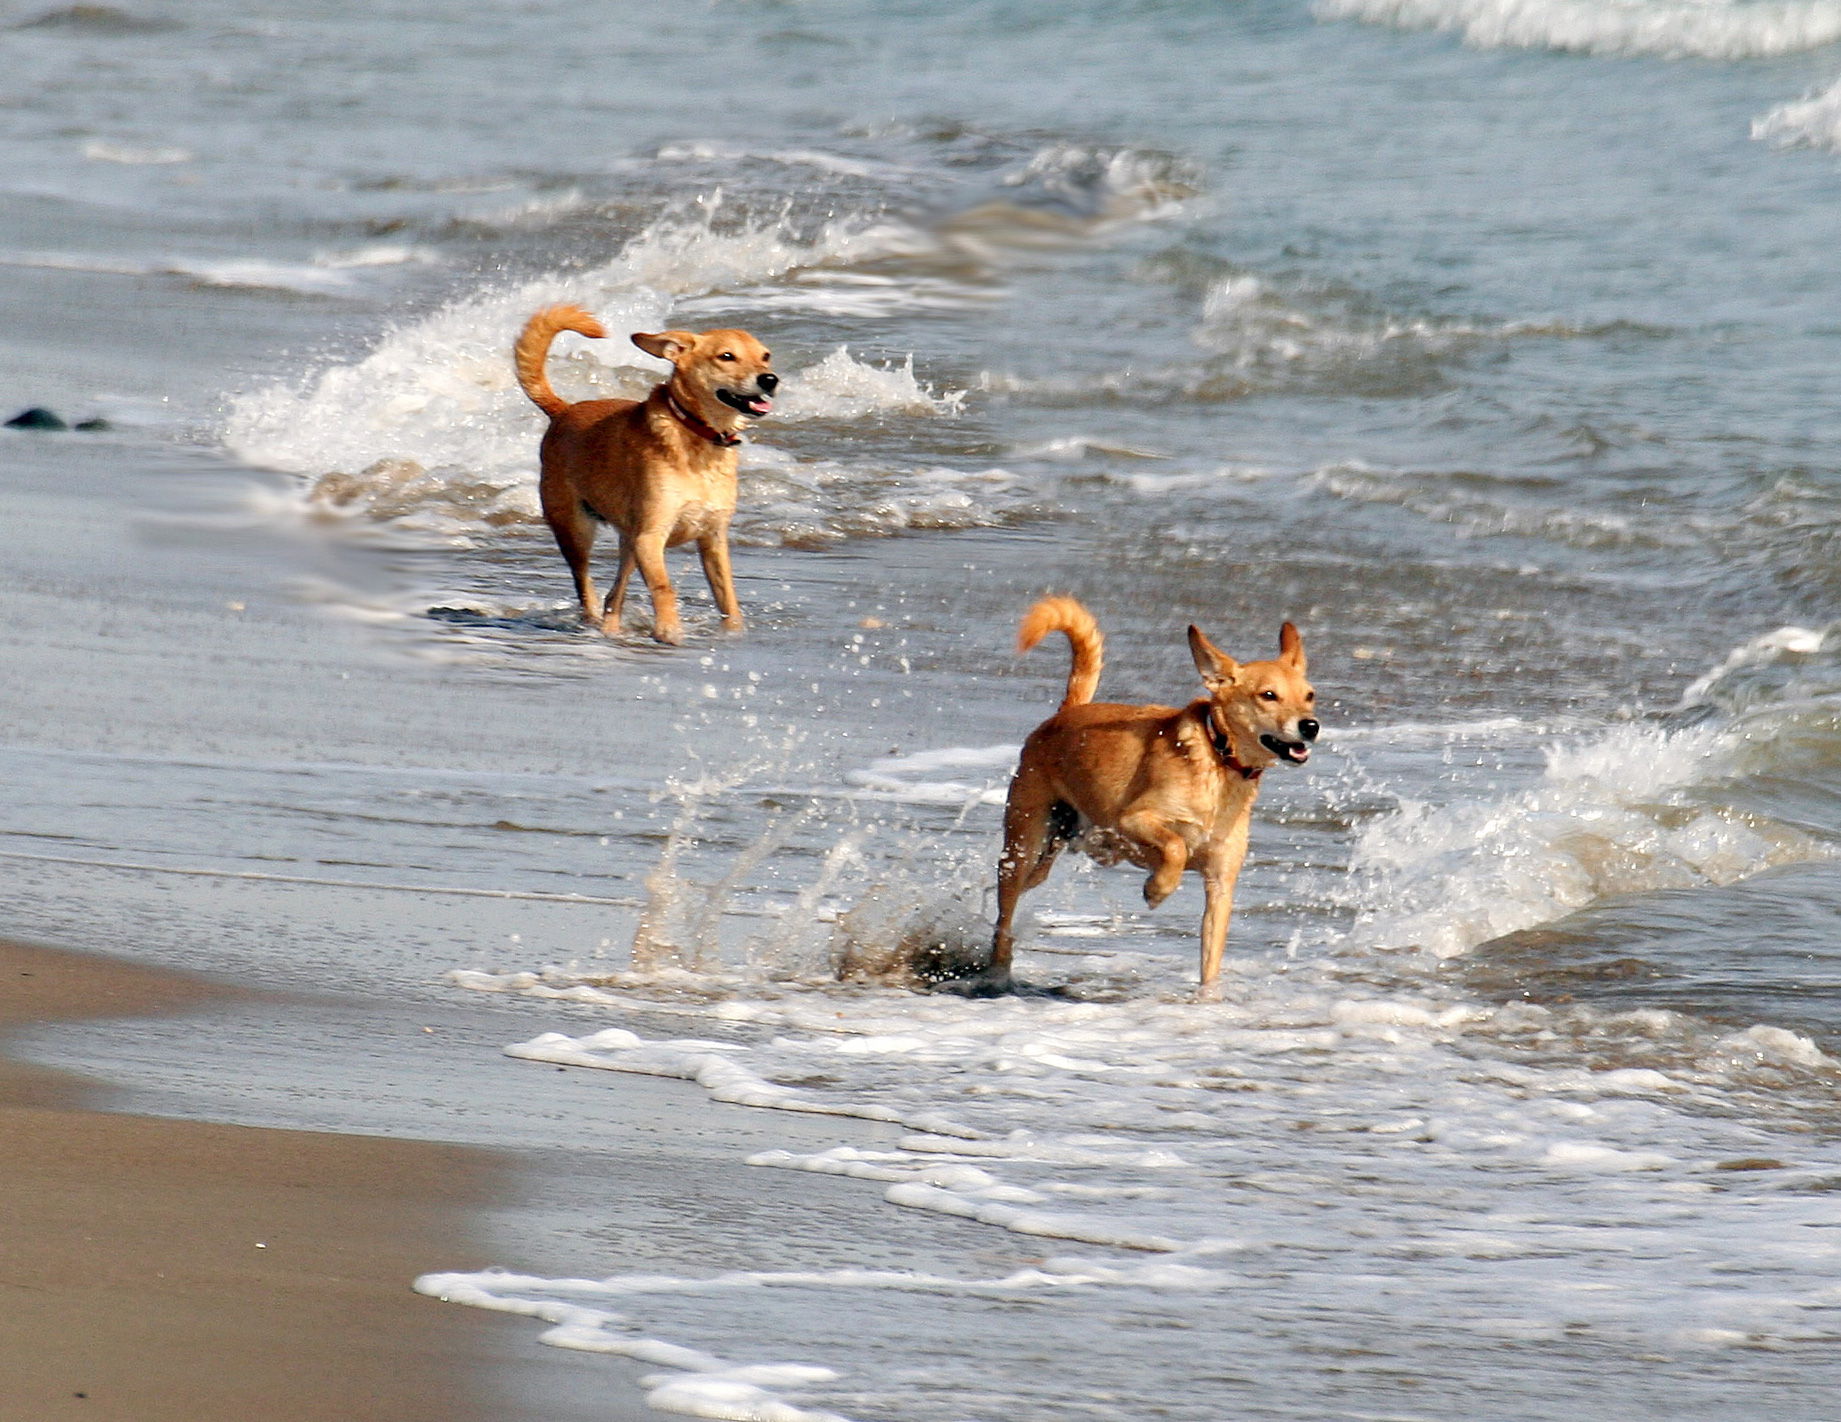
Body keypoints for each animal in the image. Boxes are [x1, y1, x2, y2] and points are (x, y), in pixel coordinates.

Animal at [511, 311, 776, 648]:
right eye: (726, 356)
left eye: (765, 356)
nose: (770, 379)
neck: (697, 434)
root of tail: (563, 410)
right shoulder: (650, 538)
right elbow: (664, 588)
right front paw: (669, 631)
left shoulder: (713, 539)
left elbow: (727, 596)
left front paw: (733, 632)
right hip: (576, 531)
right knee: (586, 588)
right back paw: (593, 622)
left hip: (628, 543)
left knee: (614, 596)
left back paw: (611, 629)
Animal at [979, 593, 1310, 994]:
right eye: (1268, 696)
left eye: (1310, 696)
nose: (1311, 726)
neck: (1218, 760)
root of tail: (1067, 712)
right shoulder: (1132, 820)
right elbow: (1176, 846)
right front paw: (1157, 889)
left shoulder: (1220, 885)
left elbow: (1211, 959)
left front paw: (1207, 999)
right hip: (1024, 845)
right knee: (1004, 918)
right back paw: (996, 973)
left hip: (1047, 855)